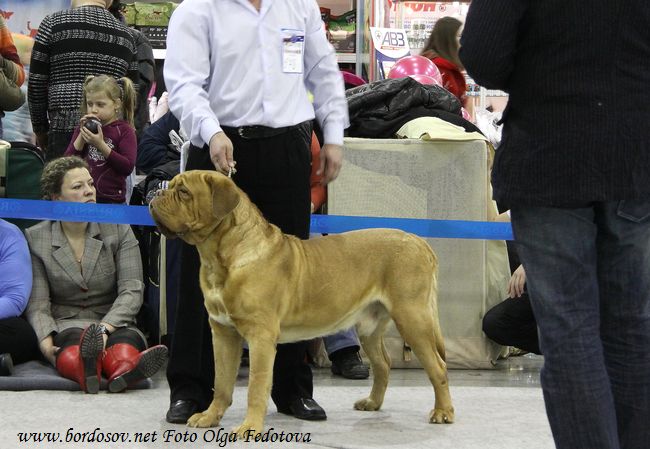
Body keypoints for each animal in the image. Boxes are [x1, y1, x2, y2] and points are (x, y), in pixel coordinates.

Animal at [149, 170, 454, 436]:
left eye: (184, 192)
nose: (155, 194)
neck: (221, 257)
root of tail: (420, 242)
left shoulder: (260, 337)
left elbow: (256, 385)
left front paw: (250, 428)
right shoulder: (223, 332)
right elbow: (222, 381)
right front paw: (210, 417)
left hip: (412, 318)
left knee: (438, 367)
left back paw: (443, 412)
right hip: (370, 326)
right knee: (384, 364)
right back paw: (372, 403)